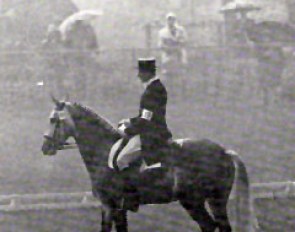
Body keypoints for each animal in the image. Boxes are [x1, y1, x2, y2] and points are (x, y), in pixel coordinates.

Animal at [42, 98, 260, 232]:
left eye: (54, 120)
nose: (45, 147)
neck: (104, 152)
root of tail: (223, 151)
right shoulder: (112, 208)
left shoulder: (111, 206)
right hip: (207, 201)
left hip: (200, 200)